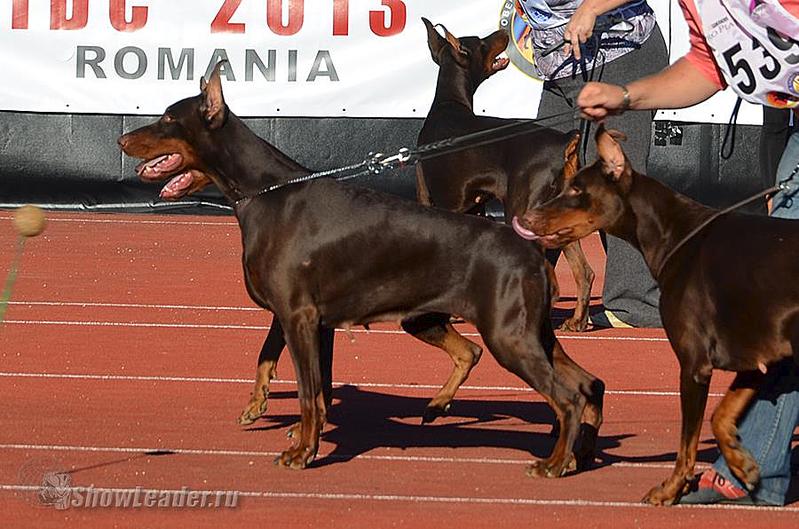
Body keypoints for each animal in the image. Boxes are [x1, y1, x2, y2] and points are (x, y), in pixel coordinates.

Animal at [117, 64, 608, 472]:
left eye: (168, 119)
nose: (122, 141)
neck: (265, 193)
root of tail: (530, 251)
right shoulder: (310, 320)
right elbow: (309, 384)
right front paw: (291, 428)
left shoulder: (298, 316)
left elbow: (308, 392)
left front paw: (302, 453)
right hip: (528, 332)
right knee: (589, 384)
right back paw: (578, 452)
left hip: (509, 336)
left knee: (567, 396)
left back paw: (554, 462)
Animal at [418, 18, 592, 332]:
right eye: (481, 42)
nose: (503, 33)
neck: (448, 104)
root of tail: (564, 142)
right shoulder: (475, 208)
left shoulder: (433, 199)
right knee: (584, 272)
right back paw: (576, 321)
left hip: (521, 213)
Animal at [516, 126, 796, 506]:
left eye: (576, 189)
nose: (526, 218)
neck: (678, 234)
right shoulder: (759, 356)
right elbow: (721, 416)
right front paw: (742, 464)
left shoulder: (694, 365)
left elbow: (686, 443)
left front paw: (671, 488)